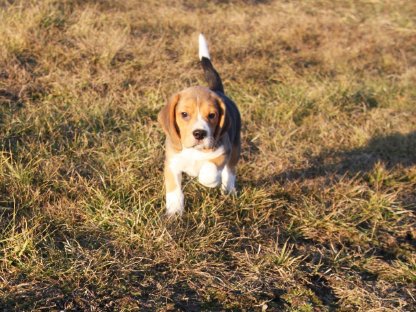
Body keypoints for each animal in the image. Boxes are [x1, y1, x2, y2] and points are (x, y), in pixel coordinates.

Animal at [157, 33, 242, 214]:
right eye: (184, 114)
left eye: (212, 115)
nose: (199, 134)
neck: (194, 151)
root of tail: (217, 90)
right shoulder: (172, 162)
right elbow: (173, 188)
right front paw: (174, 211)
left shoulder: (223, 151)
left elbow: (210, 168)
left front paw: (207, 179)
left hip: (236, 146)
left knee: (230, 171)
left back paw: (228, 190)